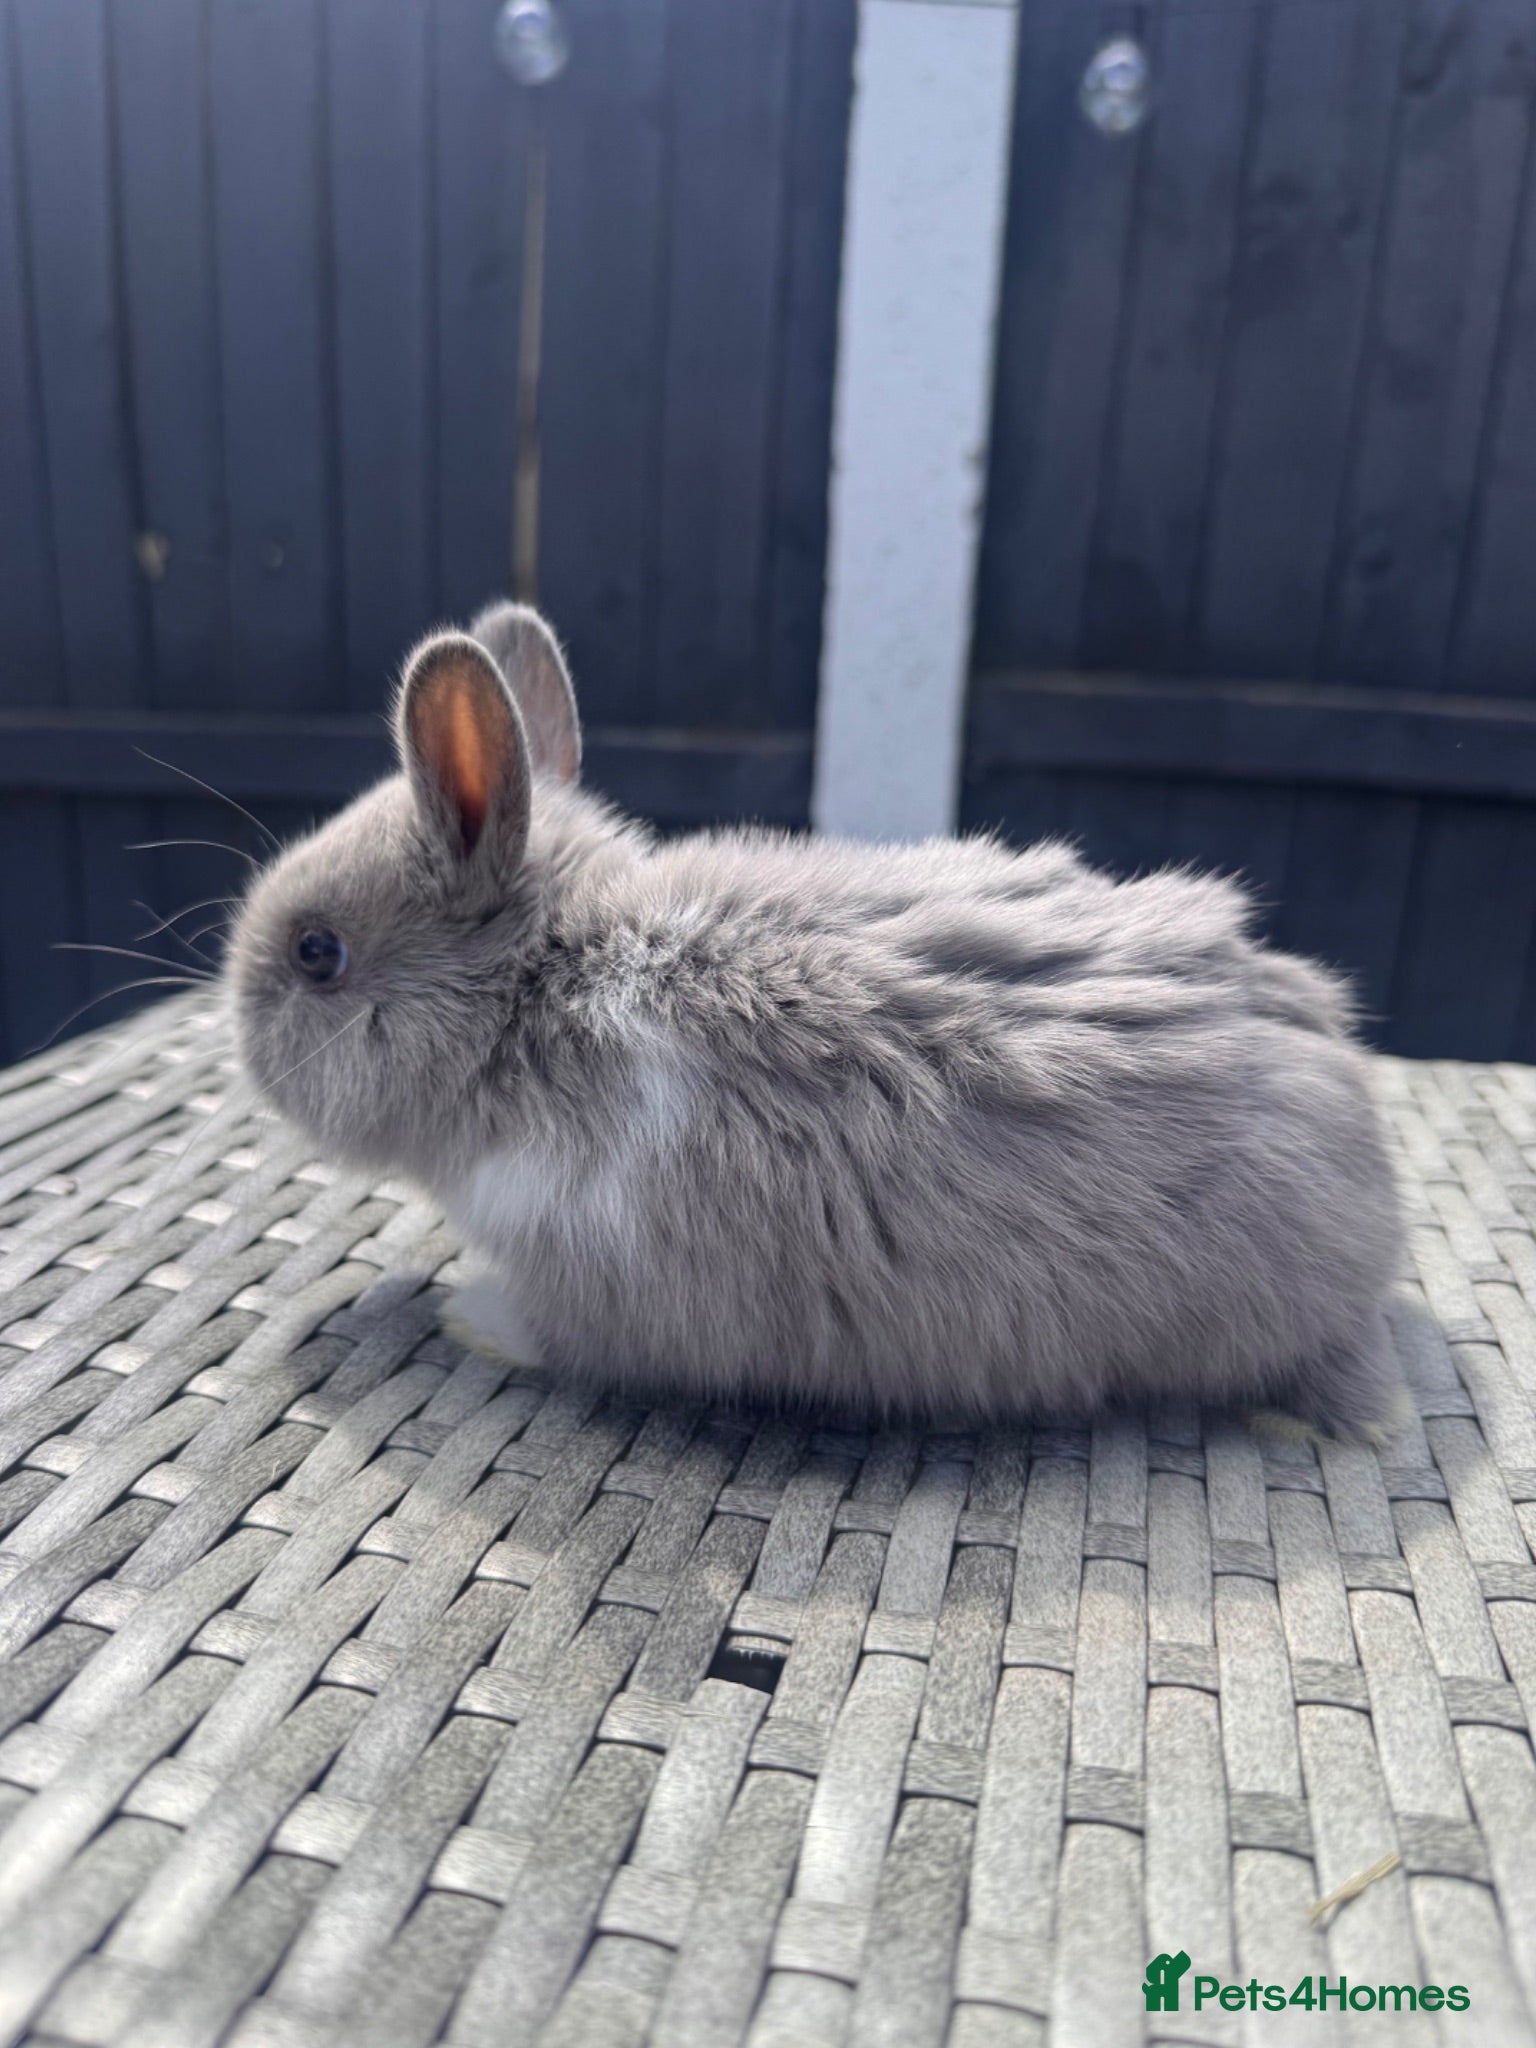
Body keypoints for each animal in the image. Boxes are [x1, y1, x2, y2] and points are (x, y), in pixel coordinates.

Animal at [227, 599, 1407, 1440]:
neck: (541, 997)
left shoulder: (593, 1272)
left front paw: (467, 1317)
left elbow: (555, 1333)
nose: (237, 1035)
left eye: (317, 954)